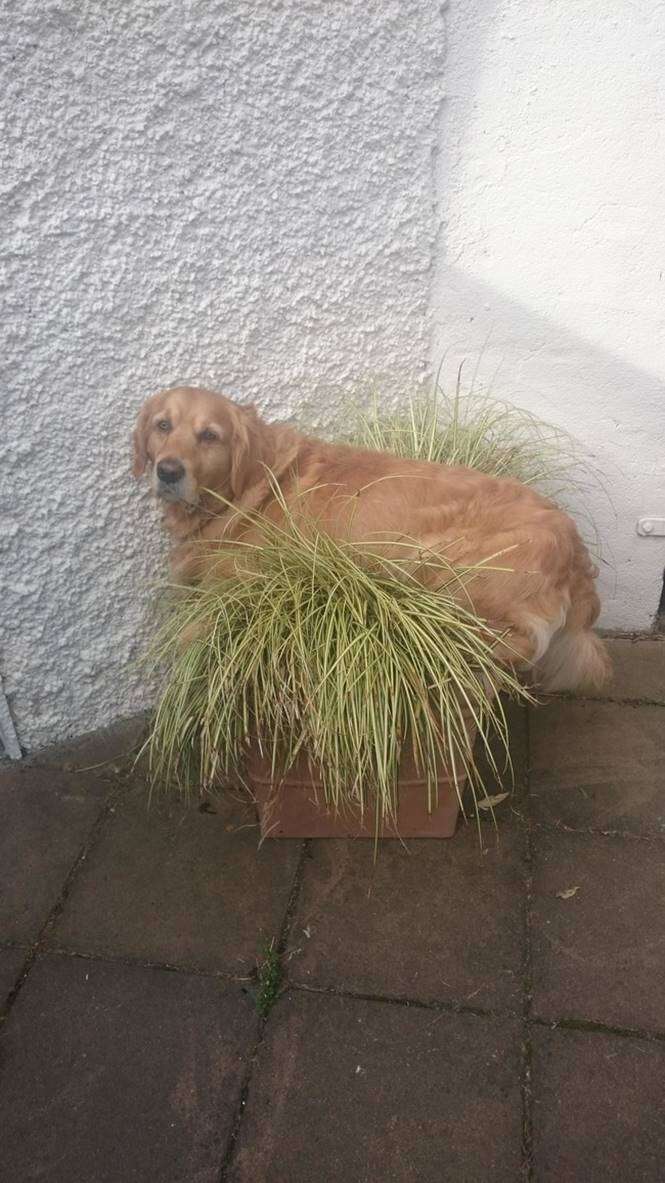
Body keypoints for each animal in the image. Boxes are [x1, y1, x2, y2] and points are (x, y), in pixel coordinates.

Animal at [131, 385, 610, 690]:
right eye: (162, 426)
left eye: (209, 435)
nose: (168, 471)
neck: (248, 483)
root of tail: (574, 548)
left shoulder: (231, 588)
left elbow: (194, 634)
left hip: (436, 563)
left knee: (518, 645)